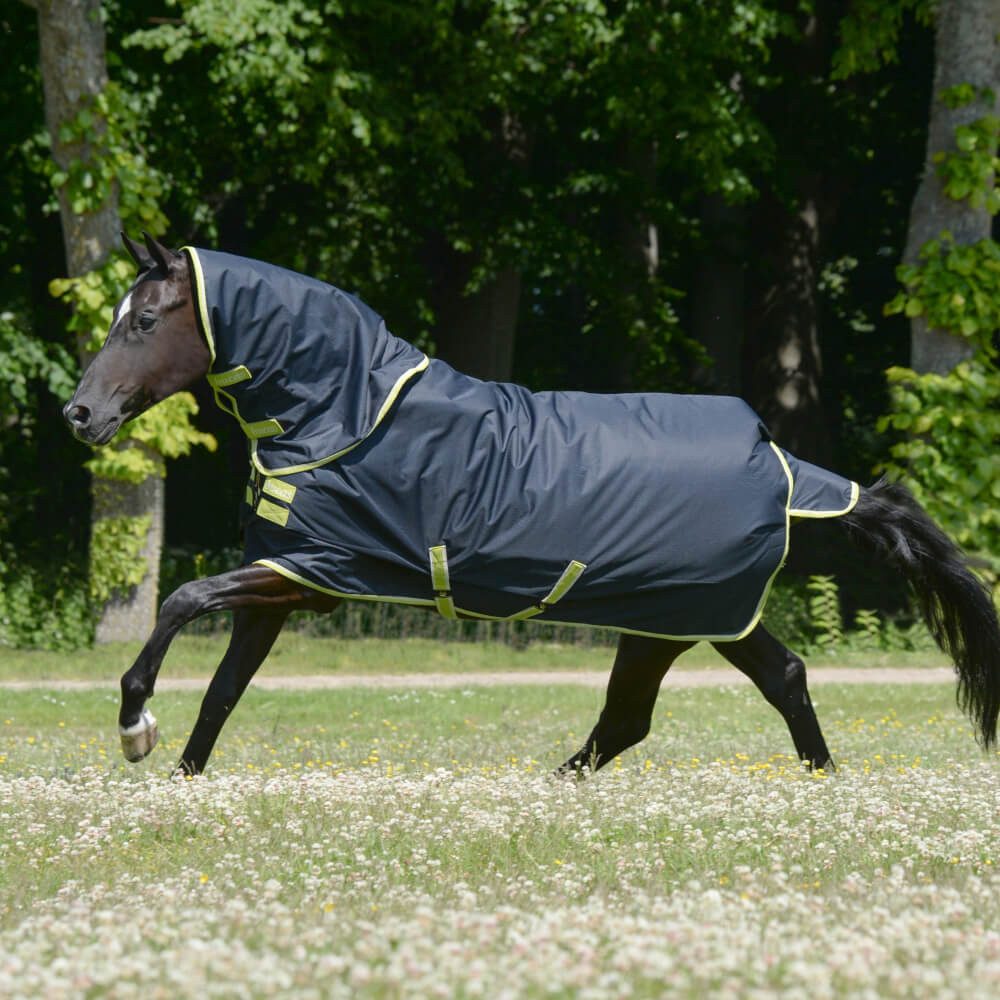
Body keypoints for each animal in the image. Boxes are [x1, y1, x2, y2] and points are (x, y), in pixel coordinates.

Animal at [63, 233, 1000, 777]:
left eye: (143, 320)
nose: (80, 414)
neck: (347, 411)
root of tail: (780, 460)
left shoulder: (311, 573)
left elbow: (183, 602)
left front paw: (135, 726)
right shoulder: (287, 580)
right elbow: (224, 691)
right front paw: (180, 777)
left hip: (680, 616)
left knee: (650, 713)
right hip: (686, 618)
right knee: (750, 687)